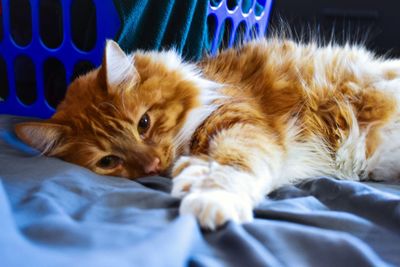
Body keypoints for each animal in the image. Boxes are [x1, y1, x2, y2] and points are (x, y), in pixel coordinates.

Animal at [14, 39, 400, 230]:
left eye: (143, 123)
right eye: (109, 161)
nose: (153, 166)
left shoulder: (241, 124)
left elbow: (228, 167)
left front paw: (211, 200)